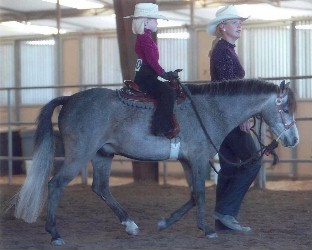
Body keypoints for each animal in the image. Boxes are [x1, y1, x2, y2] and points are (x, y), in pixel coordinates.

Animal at [12, 77, 300, 244]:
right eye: (285, 109)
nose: (295, 139)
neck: (210, 110)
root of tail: (70, 98)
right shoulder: (198, 159)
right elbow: (200, 194)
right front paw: (207, 229)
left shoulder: (187, 161)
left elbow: (193, 195)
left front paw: (165, 223)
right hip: (79, 155)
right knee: (55, 185)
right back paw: (55, 233)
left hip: (103, 154)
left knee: (101, 187)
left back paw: (130, 225)